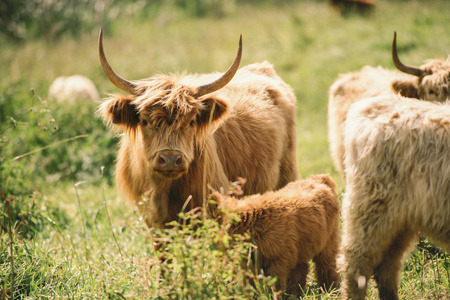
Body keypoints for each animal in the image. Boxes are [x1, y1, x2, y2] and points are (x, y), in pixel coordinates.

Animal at [207, 175, 338, 294]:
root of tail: (322, 177)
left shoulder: (277, 260)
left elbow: (273, 284)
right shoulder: (252, 261)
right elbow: (250, 284)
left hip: (328, 240)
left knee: (326, 264)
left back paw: (329, 289)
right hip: (302, 246)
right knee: (301, 268)